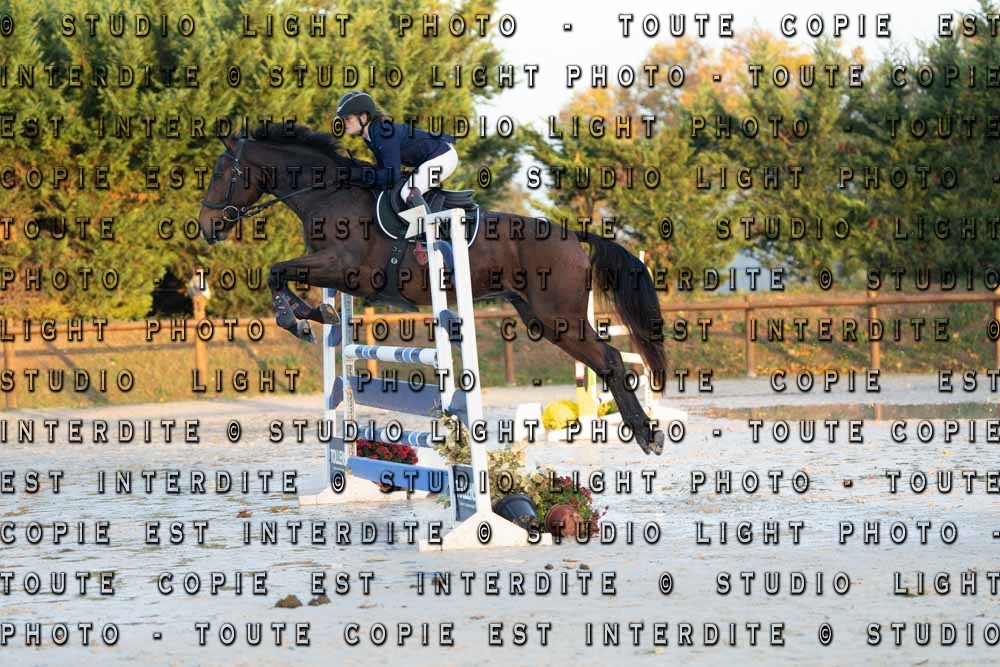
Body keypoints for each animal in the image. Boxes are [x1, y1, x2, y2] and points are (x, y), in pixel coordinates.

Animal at [196, 123, 669, 455]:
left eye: (220, 173)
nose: (206, 227)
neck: (328, 194)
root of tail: (573, 234)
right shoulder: (331, 269)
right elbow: (285, 277)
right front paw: (315, 316)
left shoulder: (343, 268)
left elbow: (276, 272)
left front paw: (297, 319)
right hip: (541, 317)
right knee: (604, 362)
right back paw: (645, 434)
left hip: (560, 318)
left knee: (610, 359)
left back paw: (648, 435)